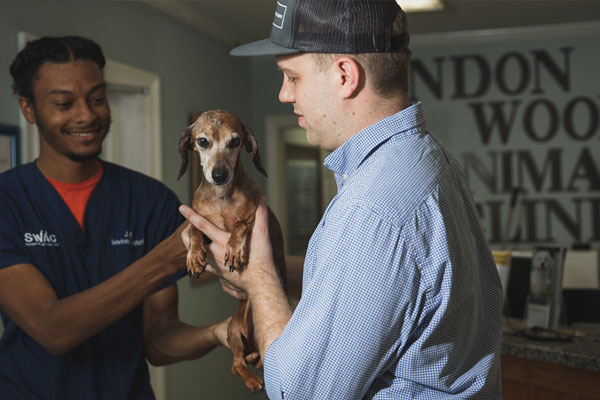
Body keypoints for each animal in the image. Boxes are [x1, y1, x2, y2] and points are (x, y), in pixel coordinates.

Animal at [177, 109, 288, 390]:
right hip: (235, 329)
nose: (219, 175)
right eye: (202, 142)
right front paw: (194, 256)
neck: (221, 198)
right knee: (236, 364)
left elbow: (239, 225)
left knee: (240, 364)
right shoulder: (198, 221)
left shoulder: (253, 217)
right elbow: (194, 231)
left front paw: (234, 250)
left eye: (235, 141)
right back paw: (251, 378)